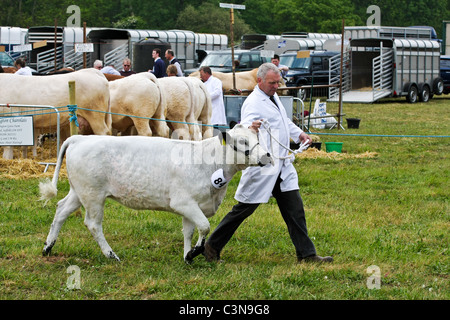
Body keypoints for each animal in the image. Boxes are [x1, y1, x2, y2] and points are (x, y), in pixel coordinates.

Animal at [40, 124, 272, 262]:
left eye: (257, 137)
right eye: (242, 142)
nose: (267, 156)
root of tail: (80, 138)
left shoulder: (191, 206)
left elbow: (189, 231)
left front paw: (187, 255)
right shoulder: (183, 202)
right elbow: (204, 226)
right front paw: (195, 251)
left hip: (78, 192)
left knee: (61, 211)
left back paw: (48, 247)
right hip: (93, 195)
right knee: (93, 224)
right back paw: (111, 254)